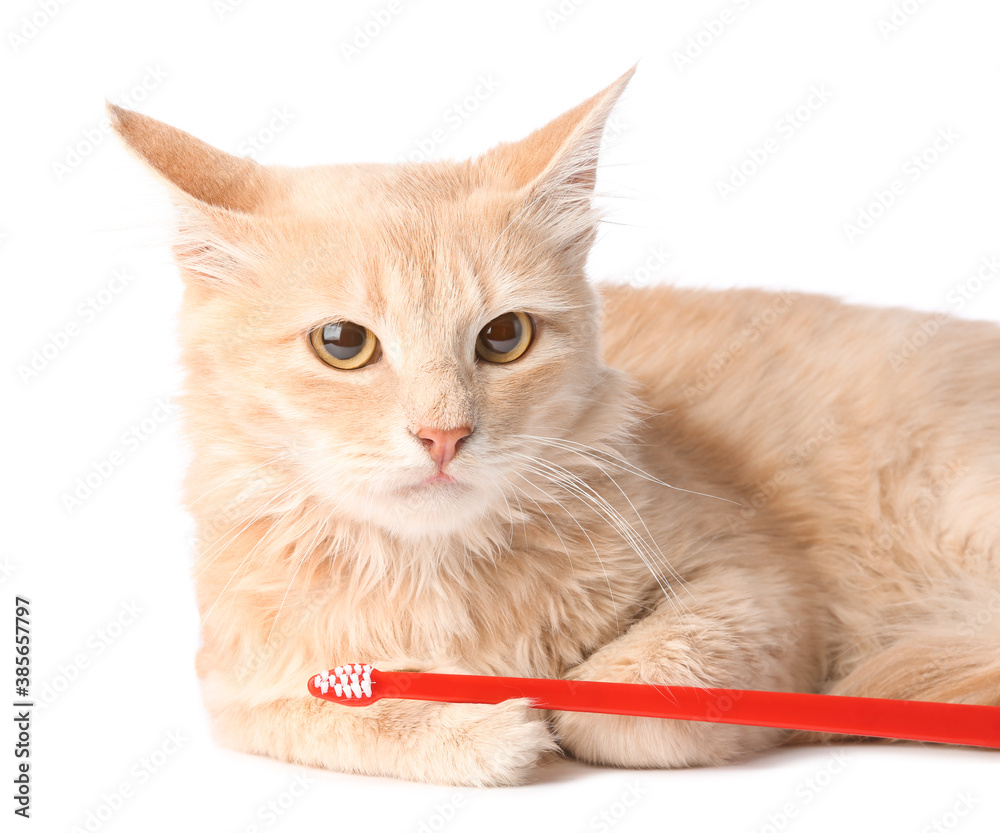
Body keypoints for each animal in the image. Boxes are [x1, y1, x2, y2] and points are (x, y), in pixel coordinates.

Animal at [107, 66, 1000, 788]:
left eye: (504, 337)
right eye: (342, 343)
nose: (443, 435)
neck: (441, 576)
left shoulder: (760, 580)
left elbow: (625, 698)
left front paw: (557, 709)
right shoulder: (234, 682)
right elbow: (325, 714)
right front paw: (476, 728)